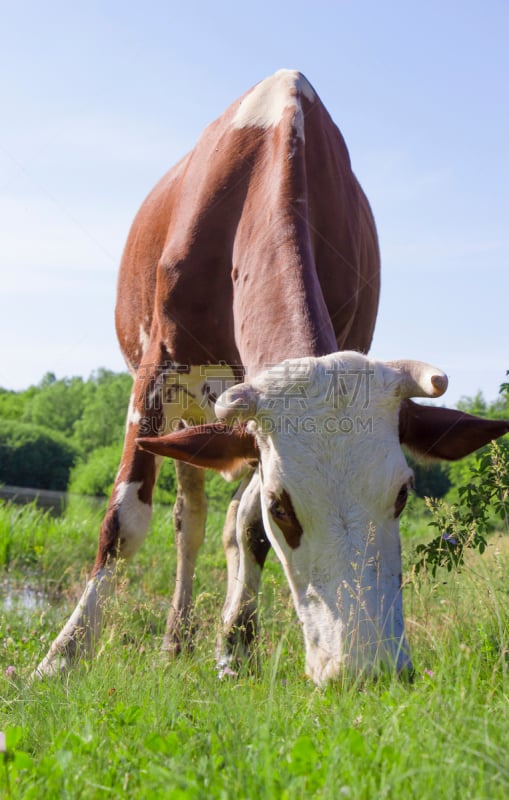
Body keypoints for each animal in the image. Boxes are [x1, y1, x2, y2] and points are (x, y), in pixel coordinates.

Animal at [34, 69, 504, 684]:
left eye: (403, 495)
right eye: (285, 506)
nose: (366, 669)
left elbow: (248, 529)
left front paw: (235, 646)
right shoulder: (156, 371)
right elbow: (125, 520)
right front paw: (62, 656)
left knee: (224, 520)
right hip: (187, 413)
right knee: (189, 520)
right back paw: (174, 638)